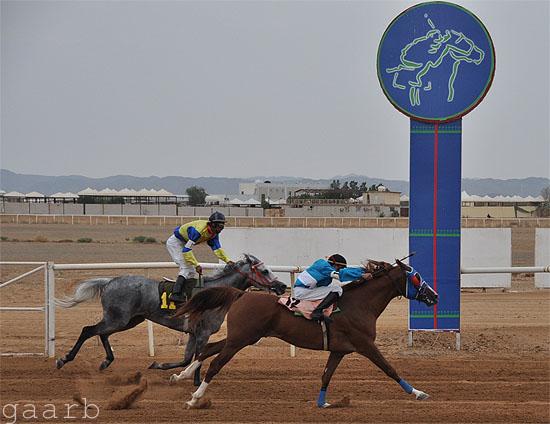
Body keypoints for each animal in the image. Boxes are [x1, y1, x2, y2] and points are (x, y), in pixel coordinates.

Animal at [55, 255, 288, 384]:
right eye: (265, 270)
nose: (282, 286)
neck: (217, 294)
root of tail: (110, 281)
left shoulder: (194, 334)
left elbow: (187, 358)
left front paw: (159, 365)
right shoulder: (203, 334)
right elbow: (197, 358)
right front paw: (194, 380)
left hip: (128, 320)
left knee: (102, 334)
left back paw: (106, 361)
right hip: (118, 319)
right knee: (88, 330)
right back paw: (64, 359)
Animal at [172, 258, 440, 408]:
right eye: (416, 277)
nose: (434, 295)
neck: (359, 305)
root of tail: (241, 294)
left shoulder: (339, 350)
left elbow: (326, 376)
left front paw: (324, 403)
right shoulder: (365, 345)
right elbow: (389, 369)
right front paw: (418, 393)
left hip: (245, 336)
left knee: (208, 348)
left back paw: (182, 375)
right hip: (241, 339)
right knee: (216, 363)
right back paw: (195, 397)